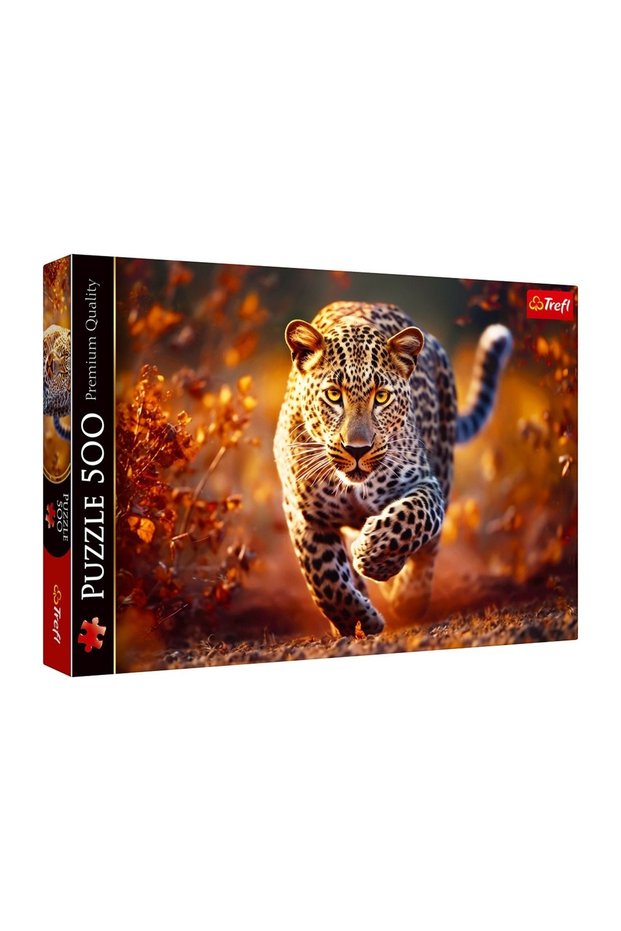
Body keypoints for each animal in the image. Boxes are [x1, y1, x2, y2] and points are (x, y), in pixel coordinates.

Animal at [273, 301, 512, 637]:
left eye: (382, 397)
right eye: (333, 395)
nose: (357, 449)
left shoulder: (425, 484)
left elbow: (412, 518)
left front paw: (374, 555)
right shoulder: (303, 512)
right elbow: (324, 577)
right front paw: (358, 621)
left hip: (444, 463)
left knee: (429, 549)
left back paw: (408, 597)